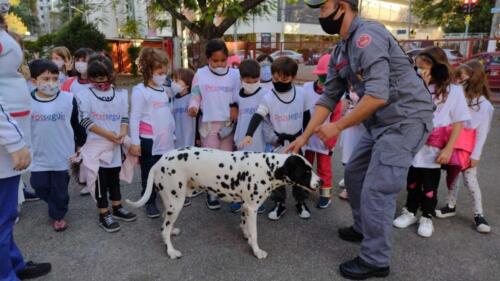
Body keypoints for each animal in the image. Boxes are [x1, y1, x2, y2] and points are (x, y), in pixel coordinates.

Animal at [125, 147, 320, 258]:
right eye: (306, 172)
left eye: (311, 169)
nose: (321, 182)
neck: (268, 167)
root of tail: (158, 162)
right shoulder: (252, 208)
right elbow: (255, 233)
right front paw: (257, 251)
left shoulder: (245, 207)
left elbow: (245, 226)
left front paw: (247, 237)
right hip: (176, 201)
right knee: (163, 229)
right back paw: (171, 251)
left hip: (171, 200)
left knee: (165, 225)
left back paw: (171, 233)